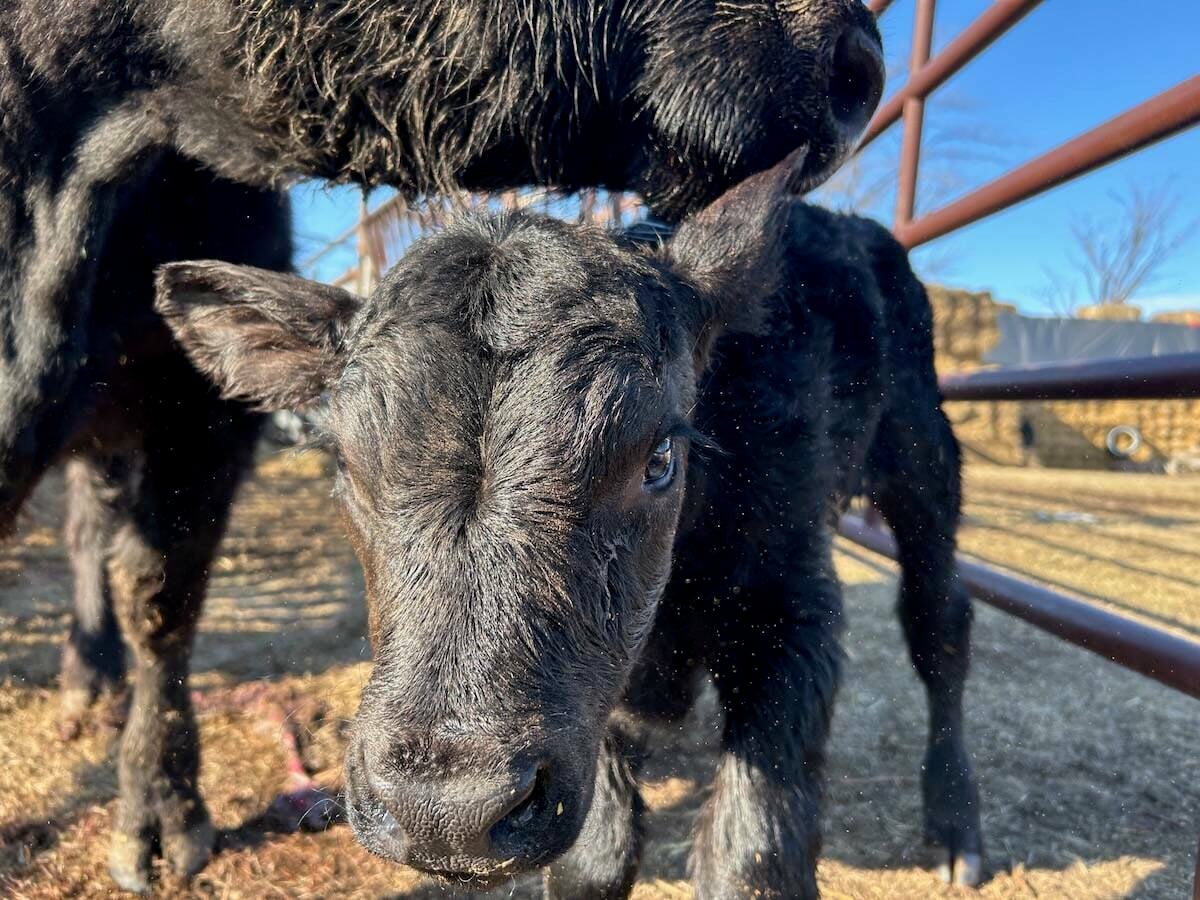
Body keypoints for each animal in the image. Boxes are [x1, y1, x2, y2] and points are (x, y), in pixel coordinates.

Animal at [155, 149, 982, 897]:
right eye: (347, 463)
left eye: (659, 459)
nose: (444, 812)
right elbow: (595, 861)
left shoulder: (792, 605)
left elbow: (753, 859)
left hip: (924, 461)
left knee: (939, 620)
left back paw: (954, 827)